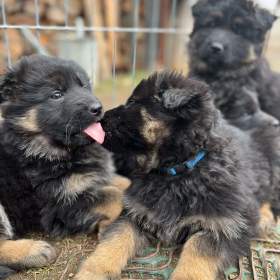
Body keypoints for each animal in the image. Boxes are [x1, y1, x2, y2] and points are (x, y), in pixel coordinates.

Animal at [0, 54, 130, 278]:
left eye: (84, 86)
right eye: (56, 95)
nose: (98, 108)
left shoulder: (92, 178)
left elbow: (121, 183)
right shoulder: (59, 205)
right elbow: (113, 195)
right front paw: (106, 225)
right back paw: (33, 251)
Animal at [74, 72, 280, 280]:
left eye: (132, 102)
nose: (99, 118)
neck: (177, 172)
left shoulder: (224, 226)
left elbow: (198, 252)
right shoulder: (135, 212)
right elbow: (115, 240)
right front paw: (93, 271)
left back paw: (264, 218)